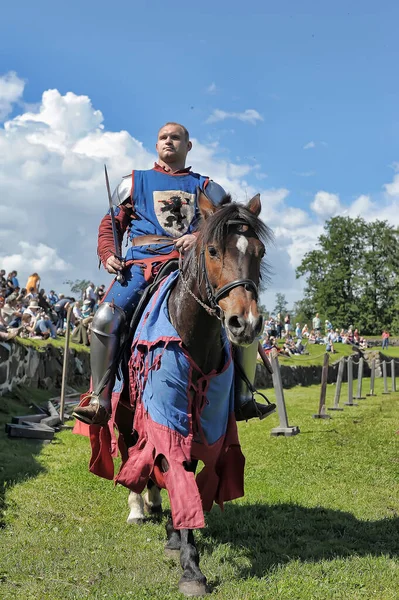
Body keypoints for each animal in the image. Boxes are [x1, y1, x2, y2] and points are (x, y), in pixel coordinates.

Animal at [93, 191, 272, 596]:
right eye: (212, 250)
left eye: (260, 252)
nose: (245, 323)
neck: (192, 331)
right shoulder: (165, 405)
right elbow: (174, 460)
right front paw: (190, 565)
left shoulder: (208, 414)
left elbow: (189, 463)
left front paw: (177, 533)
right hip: (124, 405)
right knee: (129, 444)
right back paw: (137, 506)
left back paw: (155, 502)